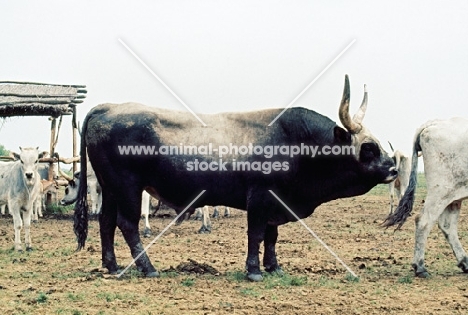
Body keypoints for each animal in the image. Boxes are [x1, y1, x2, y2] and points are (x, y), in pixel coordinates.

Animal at [384, 119, 468, 278]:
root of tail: (433, 123)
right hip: (440, 191)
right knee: (423, 221)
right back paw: (420, 267)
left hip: (452, 196)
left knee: (447, 226)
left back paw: (464, 262)